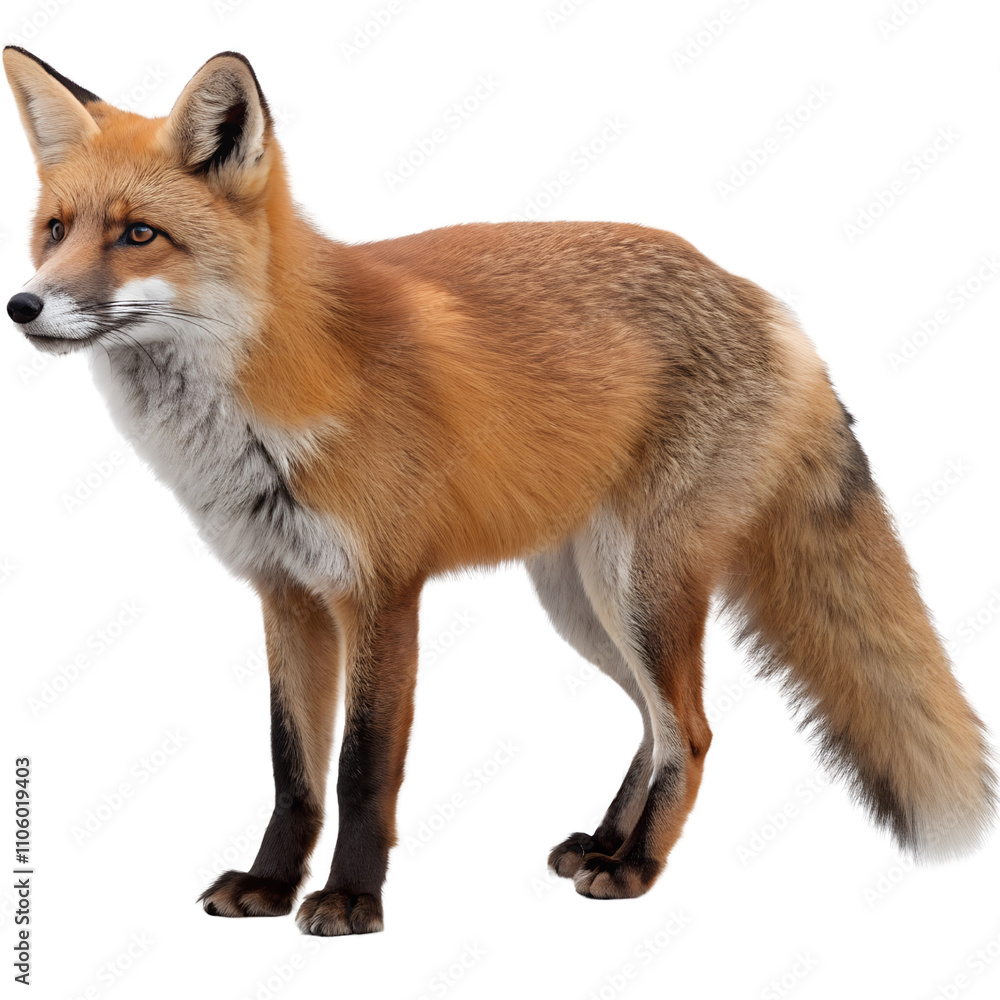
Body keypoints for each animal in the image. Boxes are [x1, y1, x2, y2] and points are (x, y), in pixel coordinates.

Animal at [4, 47, 996, 936]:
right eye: (55, 229)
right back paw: (604, 841)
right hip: (582, 602)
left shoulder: (382, 592)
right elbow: (294, 769)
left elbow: (363, 769)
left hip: (637, 589)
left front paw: (352, 903)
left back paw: (636, 868)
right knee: (655, 723)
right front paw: (269, 885)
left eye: (138, 234)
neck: (268, 395)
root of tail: (765, 302)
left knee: (693, 729)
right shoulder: (286, 593)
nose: (25, 305)